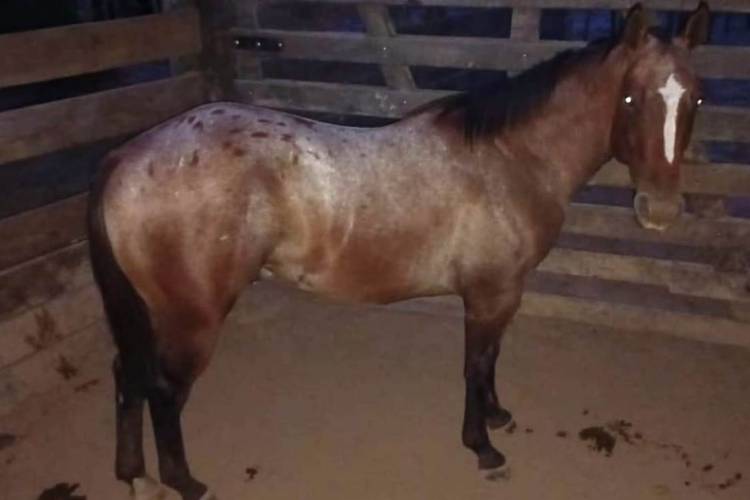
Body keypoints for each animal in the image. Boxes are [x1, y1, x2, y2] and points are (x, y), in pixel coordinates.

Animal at [87, 3, 710, 499]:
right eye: (629, 98)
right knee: (163, 392)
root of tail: (126, 158)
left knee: (127, 376)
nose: (659, 209)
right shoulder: (489, 294)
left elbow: (490, 360)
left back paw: (132, 473)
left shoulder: (502, 294)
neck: (510, 160)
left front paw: (497, 416)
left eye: (696, 98)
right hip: (193, 320)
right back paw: (184, 483)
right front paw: (482, 447)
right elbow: (474, 364)